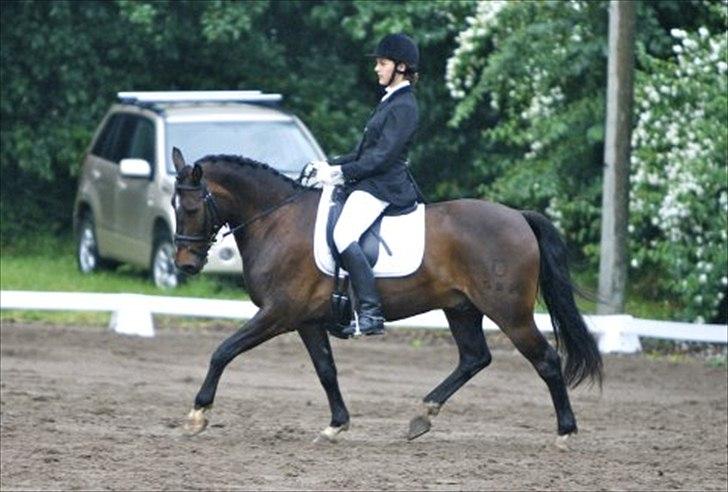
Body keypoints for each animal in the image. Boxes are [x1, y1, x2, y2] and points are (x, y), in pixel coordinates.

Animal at [170, 147, 603, 446]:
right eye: (174, 204)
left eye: (191, 207)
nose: (185, 264)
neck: (277, 219)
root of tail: (518, 217)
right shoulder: (306, 320)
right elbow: (326, 371)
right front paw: (336, 426)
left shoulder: (278, 313)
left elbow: (223, 351)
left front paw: (197, 415)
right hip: (461, 308)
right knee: (474, 357)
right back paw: (422, 416)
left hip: (510, 313)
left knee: (546, 360)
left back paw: (565, 432)